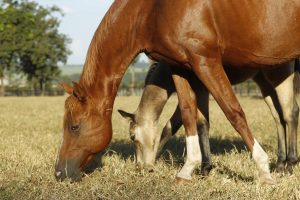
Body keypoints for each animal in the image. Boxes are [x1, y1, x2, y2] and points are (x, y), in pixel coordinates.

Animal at [118, 61, 298, 177]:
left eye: (132, 136)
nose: (139, 166)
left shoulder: (197, 89)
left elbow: (175, 126)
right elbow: (194, 123)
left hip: (278, 75)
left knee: (291, 112)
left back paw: (290, 164)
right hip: (263, 80)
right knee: (278, 116)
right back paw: (280, 164)